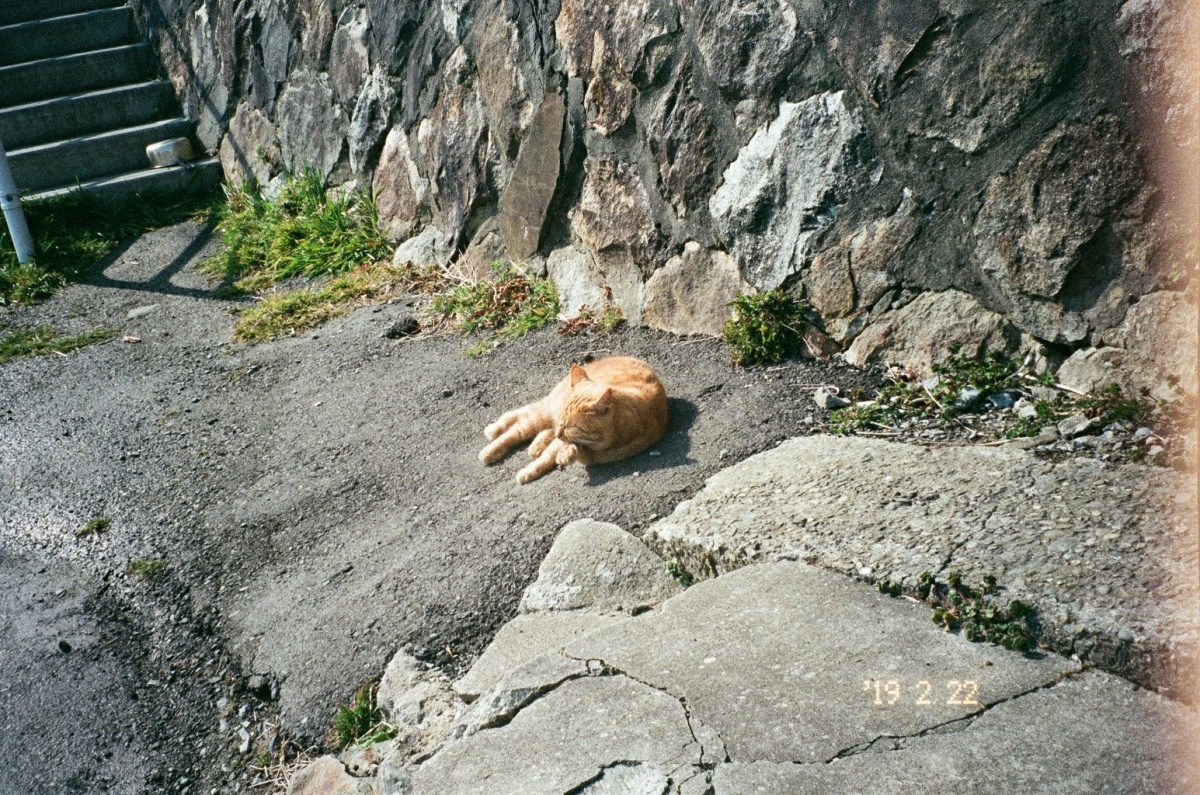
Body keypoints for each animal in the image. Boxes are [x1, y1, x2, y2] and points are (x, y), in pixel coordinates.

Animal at [477, 355, 672, 482]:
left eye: (569, 426)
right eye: (561, 423)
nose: (558, 433)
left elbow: (560, 453)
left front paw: (564, 455)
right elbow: (549, 455)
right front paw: (532, 469)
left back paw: (536, 446)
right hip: (544, 412)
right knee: (518, 426)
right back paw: (491, 445)